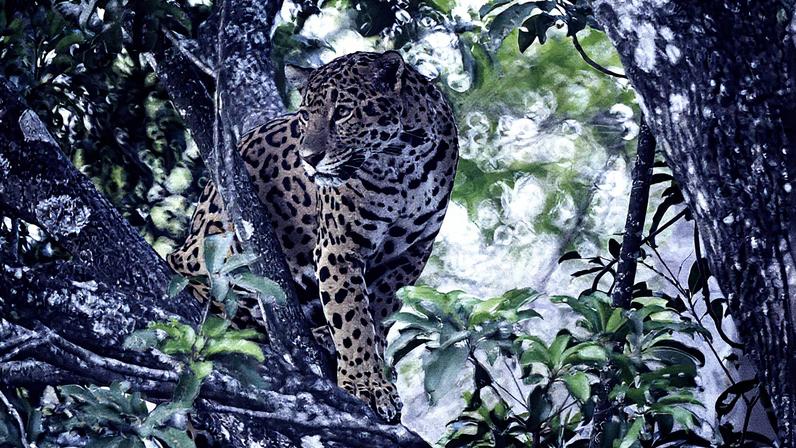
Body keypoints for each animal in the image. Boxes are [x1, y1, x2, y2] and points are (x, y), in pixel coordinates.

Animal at [167, 51, 459, 422]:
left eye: (343, 112)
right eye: (306, 115)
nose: (308, 159)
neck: (402, 163)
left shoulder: (412, 253)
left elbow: (378, 310)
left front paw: (376, 362)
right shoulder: (339, 247)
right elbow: (351, 318)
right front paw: (365, 383)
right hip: (221, 238)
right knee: (187, 271)